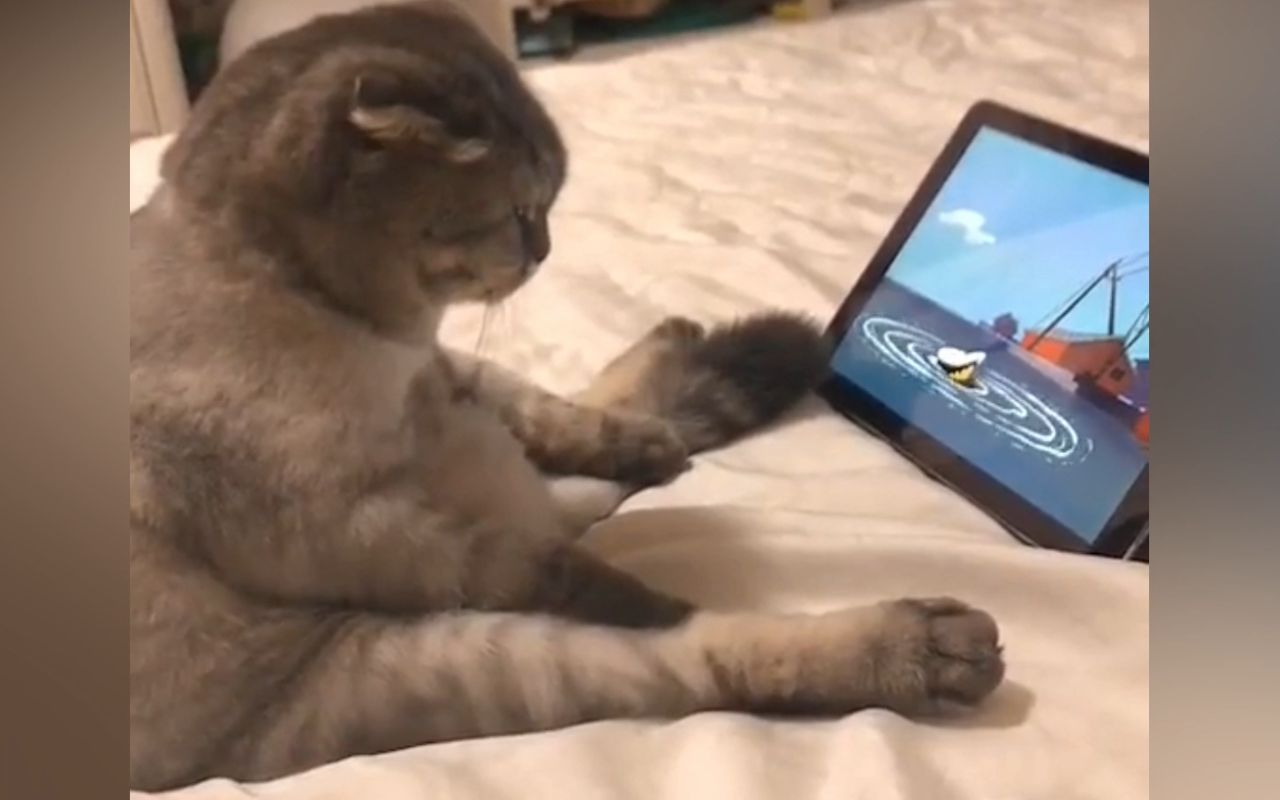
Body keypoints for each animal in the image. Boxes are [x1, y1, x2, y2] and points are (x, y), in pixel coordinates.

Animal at [130, 2, 1004, 791]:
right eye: (521, 213)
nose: (545, 252)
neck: (382, 346)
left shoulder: (449, 372)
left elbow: (556, 415)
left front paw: (637, 438)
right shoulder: (354, 524)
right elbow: (546, 565)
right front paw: (640, 587)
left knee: (599, 461)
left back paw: (692, 369)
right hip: (450, 657)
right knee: (670, 627)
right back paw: (933, 646)